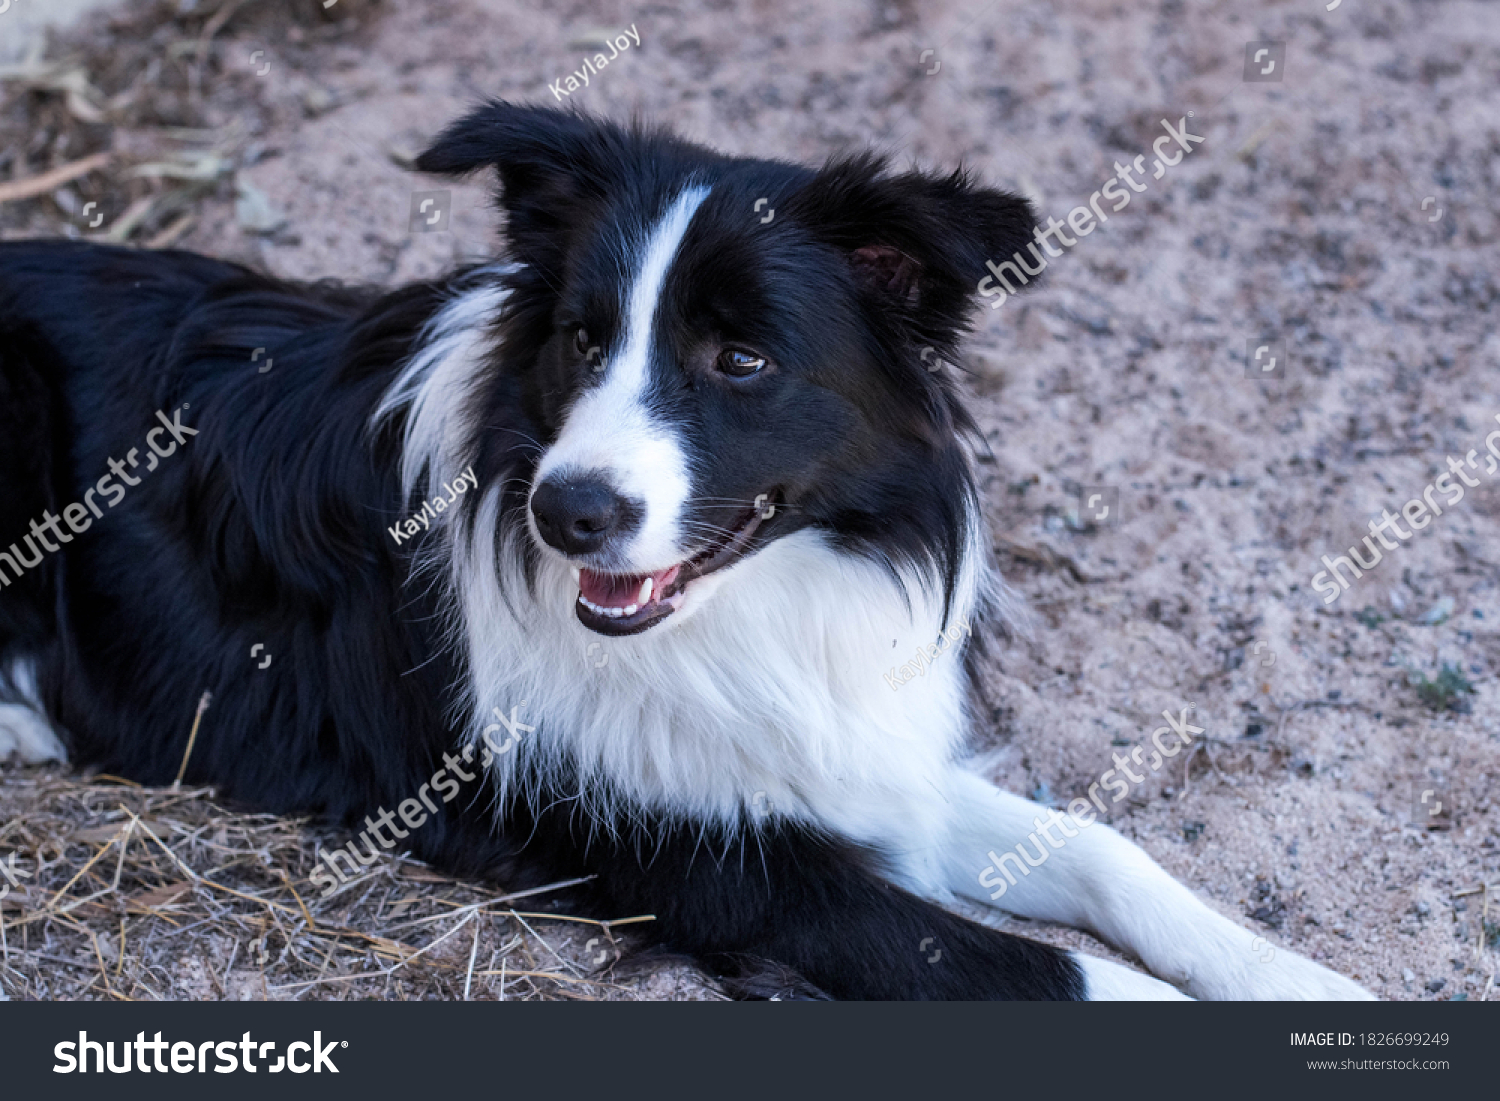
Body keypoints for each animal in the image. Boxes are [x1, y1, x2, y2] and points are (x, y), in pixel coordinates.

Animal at [0, 101, 1374, 1002]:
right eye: (581, 337)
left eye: (743, 358)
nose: (570, 513)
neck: (747, 611)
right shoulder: (705, 859)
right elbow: (1038, 972)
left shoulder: (852, 760)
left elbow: (1101, 850)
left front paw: (1303, 982)